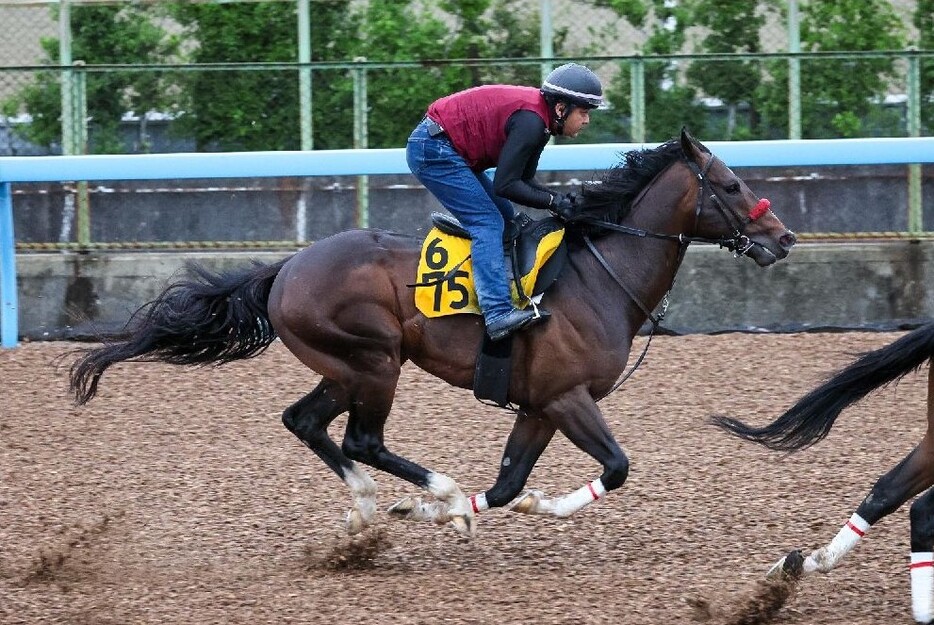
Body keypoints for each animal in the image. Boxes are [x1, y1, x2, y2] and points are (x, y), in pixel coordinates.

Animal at [67, 125, 796, 536]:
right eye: (732, 184)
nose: (783, 237)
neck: (597, 275)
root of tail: (286, 268)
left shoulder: (539, 405)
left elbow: (508, 485)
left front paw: (466, 512)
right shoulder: (567, 397)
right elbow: (615, 468)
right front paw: (458, 508)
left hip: (345, 367)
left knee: (305, 422)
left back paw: (366, 509)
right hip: (376, 360)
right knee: (361, 438)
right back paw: (422, 491)